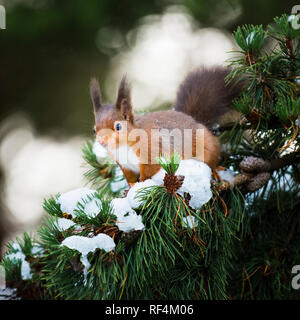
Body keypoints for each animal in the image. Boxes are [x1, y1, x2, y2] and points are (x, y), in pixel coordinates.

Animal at [90, 66, 243, 184]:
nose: (102, 141)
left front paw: (141, 185)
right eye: (94, 130)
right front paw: (130, 189)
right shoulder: (124, 165)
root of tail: (195, 120)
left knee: (212, 158)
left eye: (118, 127)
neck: (123, 146)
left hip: (205, 146)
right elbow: (130, 178)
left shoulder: (152, 150)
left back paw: (215, 170)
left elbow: (148, 172)